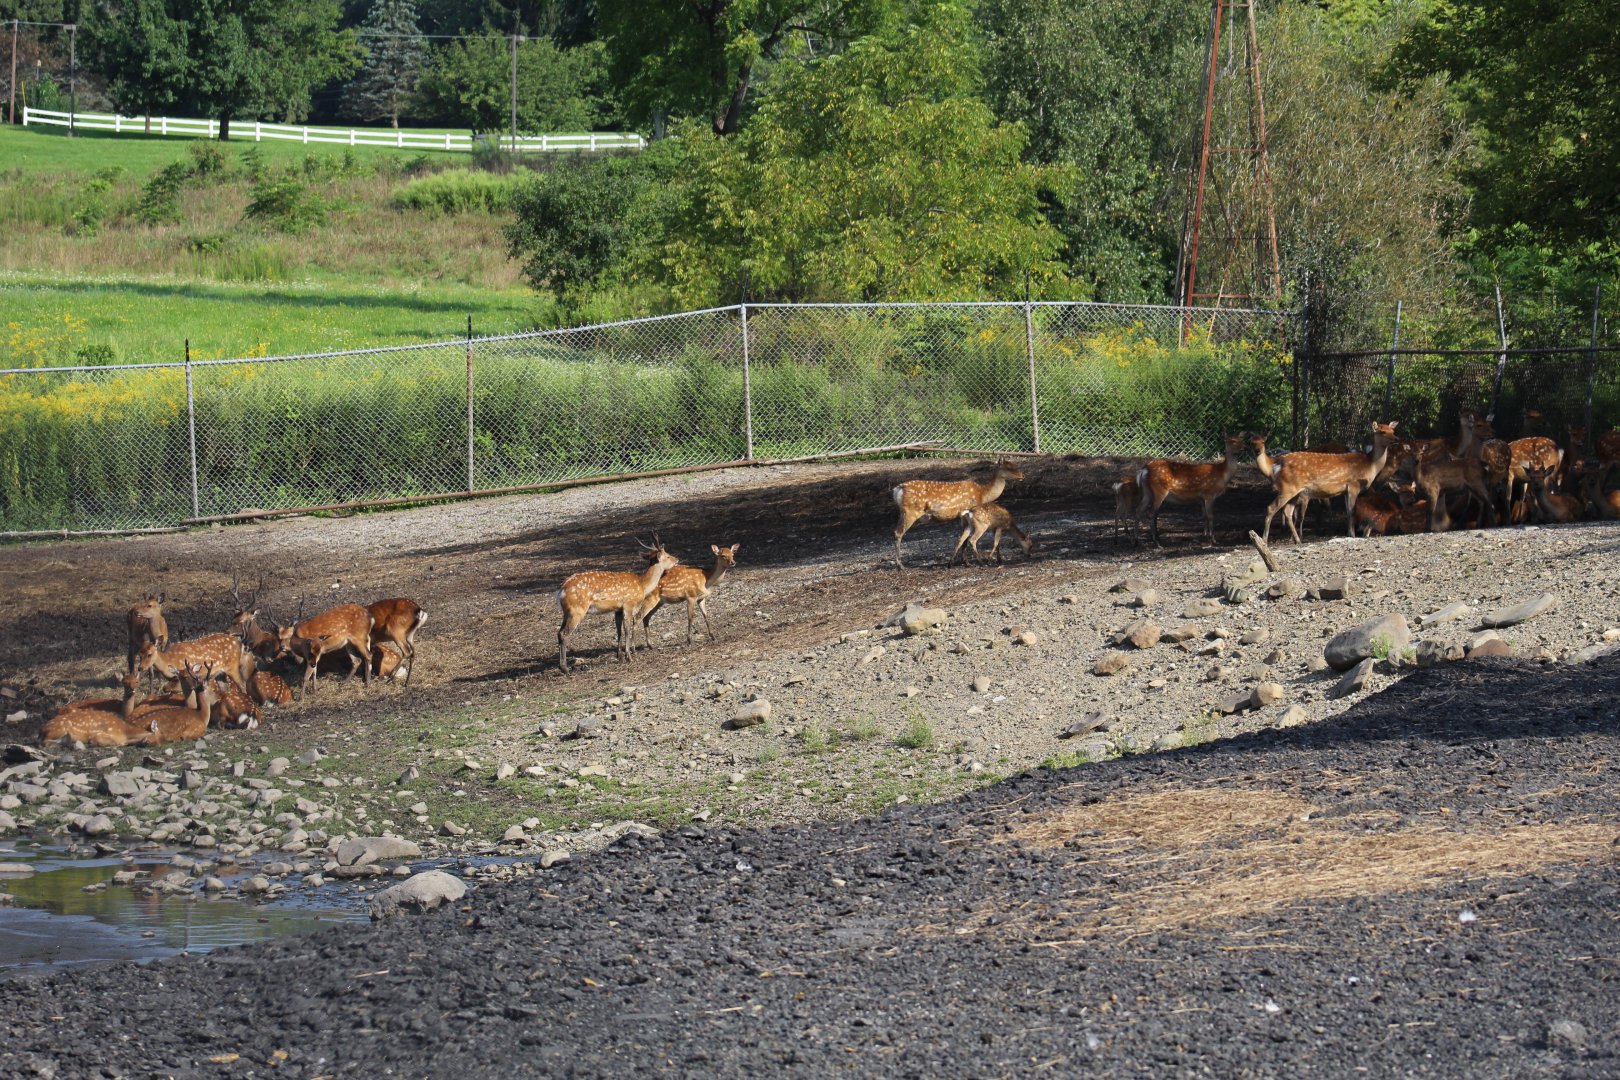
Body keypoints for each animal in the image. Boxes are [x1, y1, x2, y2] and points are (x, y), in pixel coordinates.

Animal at [556, 538, 680, 673]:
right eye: (667, 555)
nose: (677, 559)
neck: (642, 585)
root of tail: (561, 590)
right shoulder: (628, 604)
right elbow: (626, 629)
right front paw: (629, 657)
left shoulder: (618, 609)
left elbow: (618, 631)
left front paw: (619, 656)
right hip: (577, 610)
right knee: (564, 633)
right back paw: (565, 668)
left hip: (567, 612)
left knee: (559, 632)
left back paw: (561, 666)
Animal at [891, 461, 1025, 568]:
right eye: (1008, 467)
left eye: (1012, 464)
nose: (1022, 475)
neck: (982, 494)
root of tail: (897, 490)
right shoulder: (964, 513)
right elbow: (965, 539)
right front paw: (966, 562)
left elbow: (962, 538)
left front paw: (961, 562)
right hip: (911, 512)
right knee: (898, 533)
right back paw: (900, 565)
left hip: (903, 513)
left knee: (895, 531)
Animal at [1262, 422, 1399, 544]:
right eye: (1382, 431)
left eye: (1392, 431)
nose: (1397, 439)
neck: (1370, 465)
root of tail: (1276, 464)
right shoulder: (1353, 485)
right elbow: (1351, 511)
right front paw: (1353, 535)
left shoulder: (1345, 490)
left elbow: (1348, 511)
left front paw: (1349, 534)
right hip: (1288, 488)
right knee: (1270, 508)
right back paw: (1265, 540)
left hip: (1295, 491)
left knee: (1287, 512)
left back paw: (1298, 540)